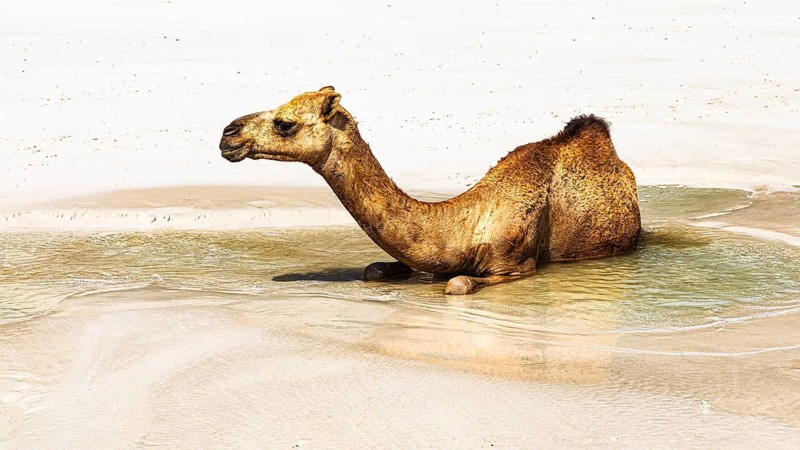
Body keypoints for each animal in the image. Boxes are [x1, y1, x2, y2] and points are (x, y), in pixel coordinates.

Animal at [219, 87, 641, 295]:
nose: (228, 133)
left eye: (284, 123)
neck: (464, 223)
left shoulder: (516, 264)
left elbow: (458, 283)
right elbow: (375, 269)